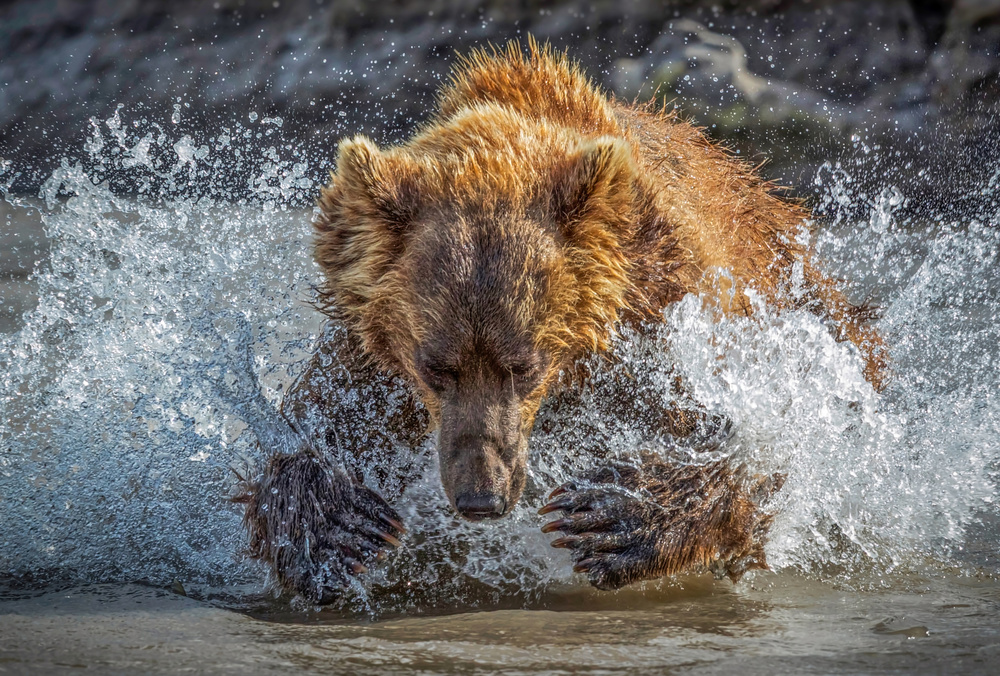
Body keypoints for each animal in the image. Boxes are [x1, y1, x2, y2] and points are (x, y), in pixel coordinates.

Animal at [236, 39, 886, 604]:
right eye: (435, 367)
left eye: (523, 365)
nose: (481, 498)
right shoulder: (371, 364)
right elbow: (309, 430)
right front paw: (336, 526)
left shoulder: (664, 323)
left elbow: (766, 445)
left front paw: (610, 517)